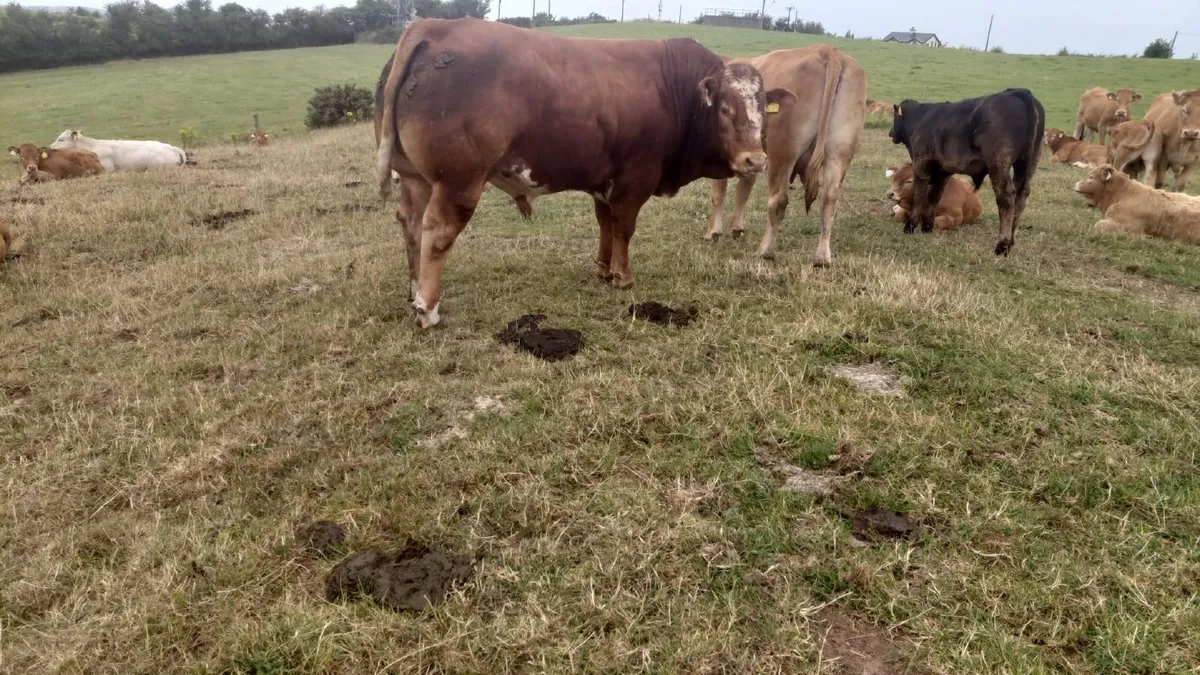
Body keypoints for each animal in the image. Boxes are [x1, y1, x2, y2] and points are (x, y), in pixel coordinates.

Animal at [374, 18, 789, 328]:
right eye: (725, 109)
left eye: (762, 108)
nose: (755, 160)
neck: (676, 91)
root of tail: (433, 26)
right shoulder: (635, 180)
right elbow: (624, 227)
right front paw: (623, 277)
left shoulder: (604, 182)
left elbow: (605, 224)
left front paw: (604, 269)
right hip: (458, 181)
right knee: (437, 233)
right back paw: (428, 309)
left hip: (416, 178)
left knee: (411, 223)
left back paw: (413, 289)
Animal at [702, 45, 866, 265]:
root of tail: (827, 49)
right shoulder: (752, 157)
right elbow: (743, 191)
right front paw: (736, 228)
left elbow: (719, 194)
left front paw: (713, 232)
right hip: (840, 151)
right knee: (829, 200)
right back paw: (822, 257)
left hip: (782, 154)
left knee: (778, 200)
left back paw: (765, 251)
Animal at [889, 88, 1045, 256]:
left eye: (894, 116)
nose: (891, 132)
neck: (922, 117)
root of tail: (1018, 91)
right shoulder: (944, 172)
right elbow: (934, 196)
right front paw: (927, 227)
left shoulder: (921, 165)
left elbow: (919, 195)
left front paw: (910, 226)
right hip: (1029, 163)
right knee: (1021, 197)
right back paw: (1010, 242)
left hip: (999, 165)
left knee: (1006, 198)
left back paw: (1002, 245)